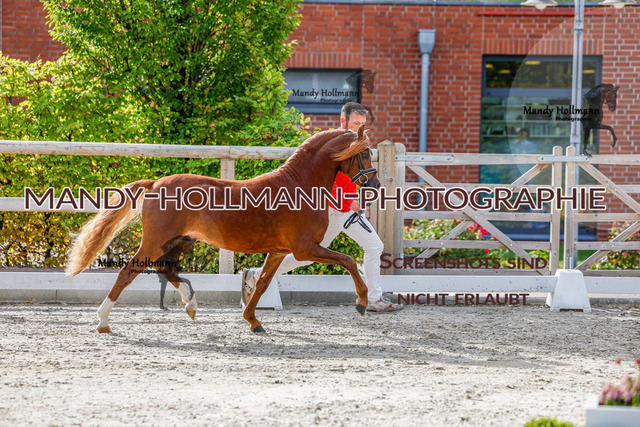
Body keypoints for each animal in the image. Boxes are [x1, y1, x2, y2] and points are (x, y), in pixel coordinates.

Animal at [65, 126, 380, 333]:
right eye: (364, 154)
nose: (376, 185)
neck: (298, 187)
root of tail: (155, 184)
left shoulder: (280, 251)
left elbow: (263, 282)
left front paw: (253, 320)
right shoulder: (305, 249)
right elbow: (348, 261)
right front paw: (362, 302)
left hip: (180, 240)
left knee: (164, 268)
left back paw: (191, 305)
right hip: (156, 240)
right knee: (128, 270)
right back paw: (103, 320)